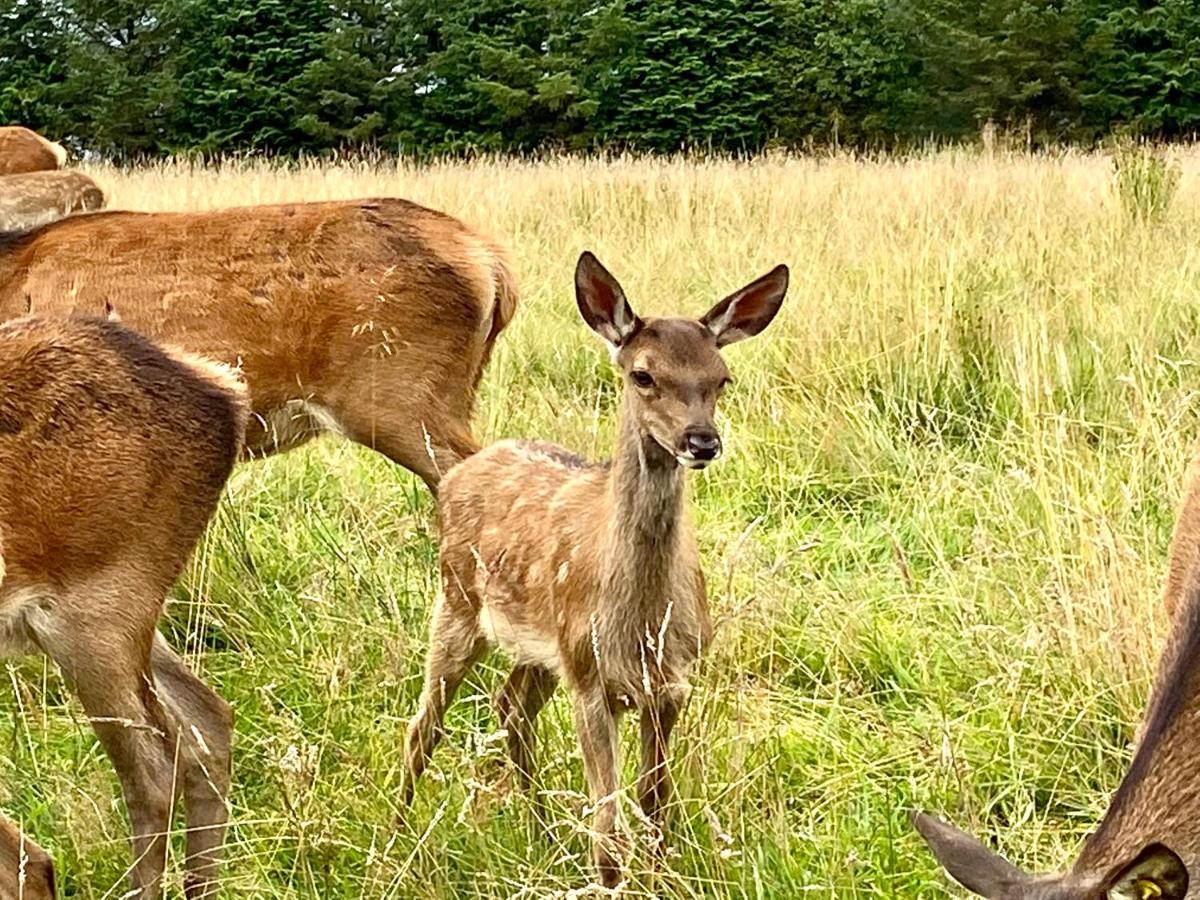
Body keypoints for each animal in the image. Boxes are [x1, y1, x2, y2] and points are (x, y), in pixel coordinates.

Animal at [400, 252, 787, 888]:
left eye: (721, 378)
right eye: (643, 376)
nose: (701, 441)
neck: (642, 619)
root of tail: (463, 467)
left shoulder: (669, 684)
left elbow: (656, 802)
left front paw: (658, 874)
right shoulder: (591, 678)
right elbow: (608, 830)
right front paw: (612, 881)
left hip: (543, 648)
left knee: (512, 707)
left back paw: (541, 833)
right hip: (458, 601)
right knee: (423, 724)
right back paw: (397, 835)